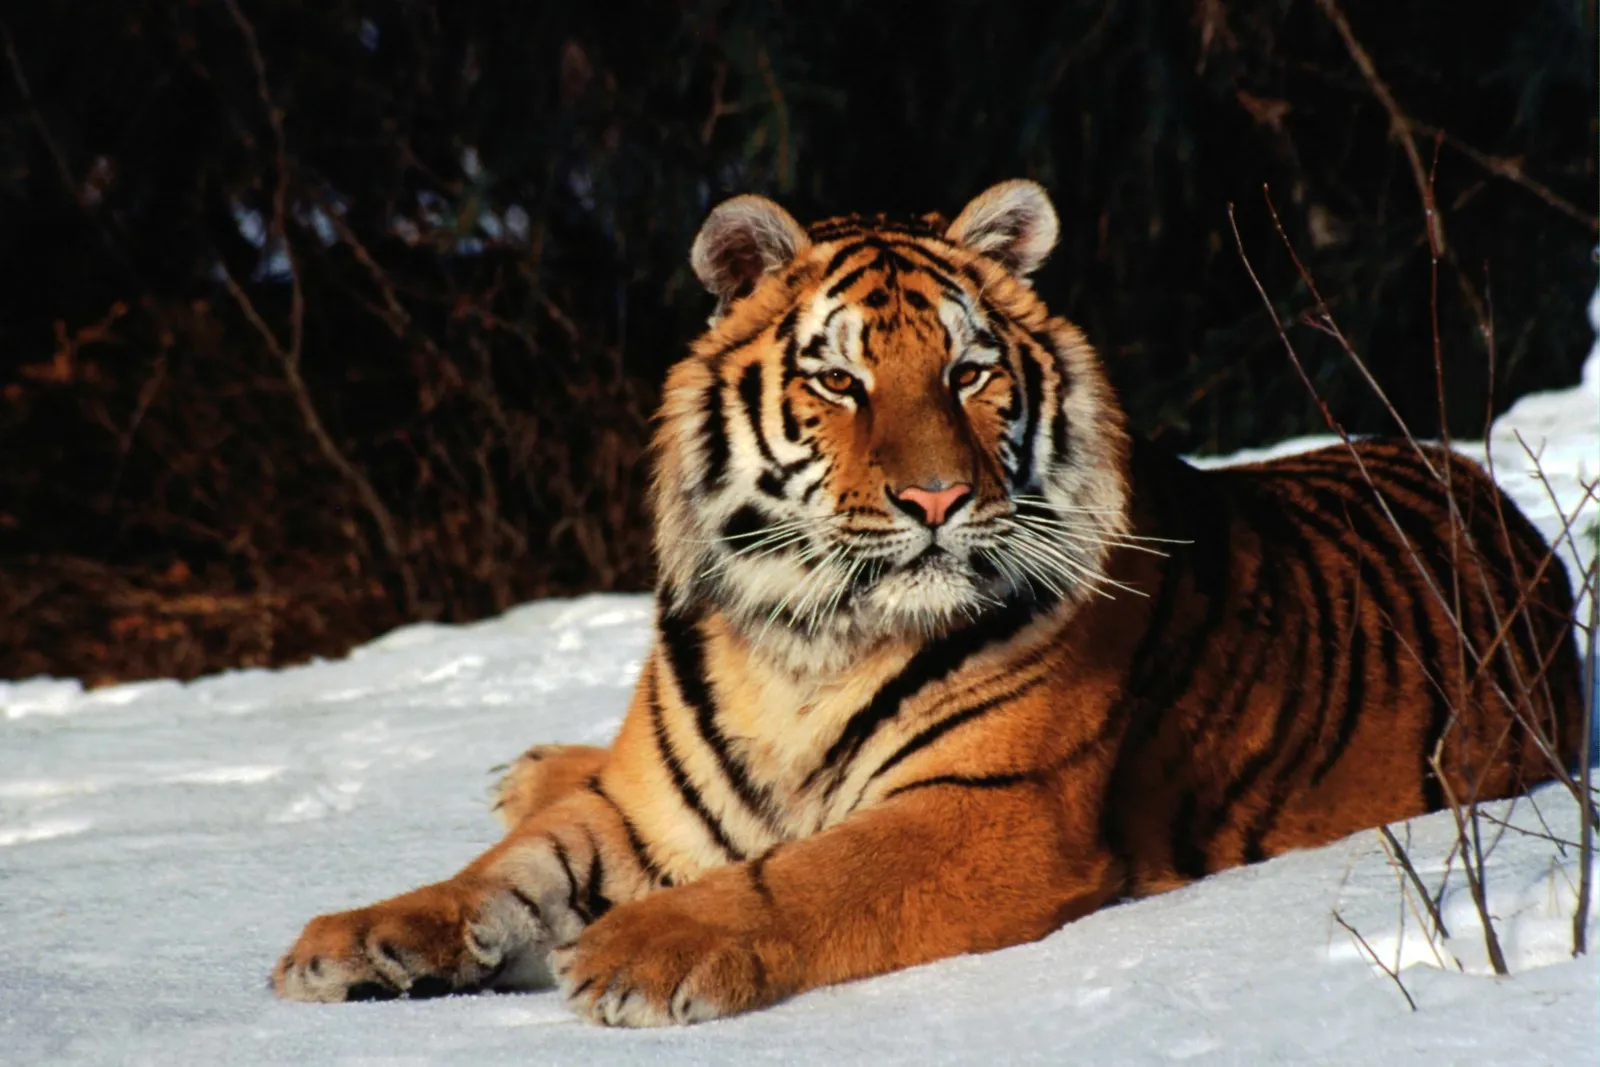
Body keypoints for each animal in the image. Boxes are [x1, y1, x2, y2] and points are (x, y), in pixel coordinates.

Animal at [272, 180, 1584, 1025]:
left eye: (969, 370)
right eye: (838, 380)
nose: (939, 496)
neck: (803, 640)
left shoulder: (988, 809)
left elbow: (801, 875)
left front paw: (639, 950)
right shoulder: (647, 806)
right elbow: (500, 872)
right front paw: (353, 939)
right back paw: (528, 764)